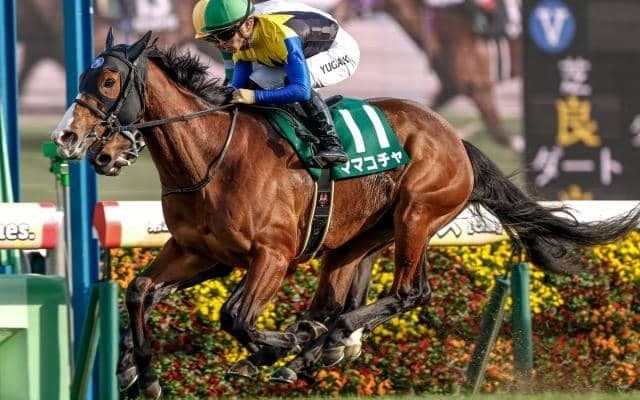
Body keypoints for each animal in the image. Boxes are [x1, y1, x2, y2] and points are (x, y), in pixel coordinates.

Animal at [51, 31, 640, 397]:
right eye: (81, 80)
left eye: (107, 83)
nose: (70, 139)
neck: (212, 156)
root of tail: (454, 137)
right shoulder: (199, 252)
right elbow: (139, 291)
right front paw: (141, 372)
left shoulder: (272, 255)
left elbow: (235, 316)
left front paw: (277, 344)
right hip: (357, 239)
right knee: (341, 299)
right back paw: (312, 348)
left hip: (417, 215)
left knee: (409, 293)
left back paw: (314, 343)